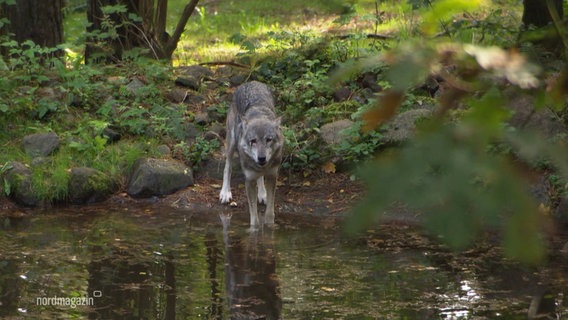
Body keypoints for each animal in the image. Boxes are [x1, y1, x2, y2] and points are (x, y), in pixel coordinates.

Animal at [220, 82, 284, 228]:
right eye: (253, 141)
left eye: (268, 139)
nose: (261, 158)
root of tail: (251, 82)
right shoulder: (249, 181)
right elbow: (254, 218)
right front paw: (253, 230)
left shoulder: (272, 176)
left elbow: (270, 212)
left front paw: (270, 226)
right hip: (231, 143)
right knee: (227, 167)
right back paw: (225, 193)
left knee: (260, 178)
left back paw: (262, 194)